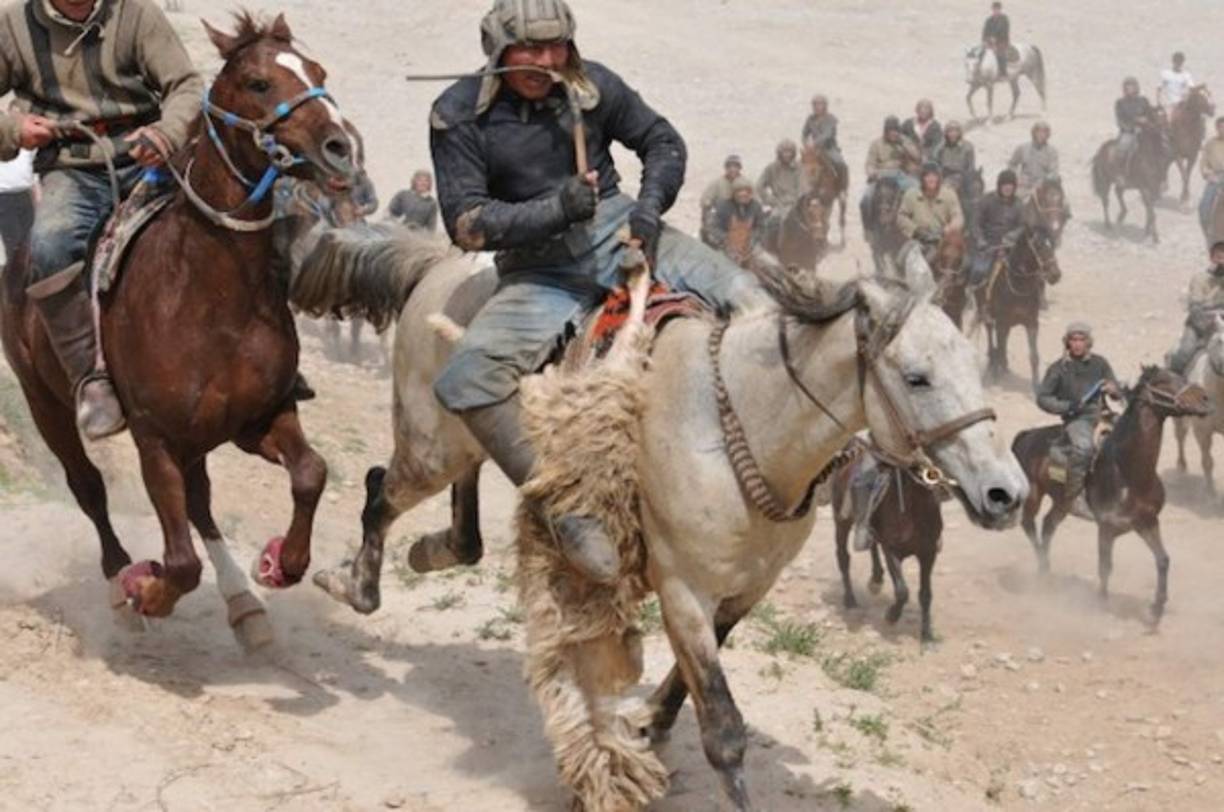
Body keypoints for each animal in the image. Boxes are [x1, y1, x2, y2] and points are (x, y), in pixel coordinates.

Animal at [0, 15, 359, 644]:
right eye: (259, 82)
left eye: (317, 71)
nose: (341, 149)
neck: (209, 294)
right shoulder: (156, 440)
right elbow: (181, 562)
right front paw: (146, 590)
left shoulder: (259, 417)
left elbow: (310, 473)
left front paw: (280, 564)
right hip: (45, 403)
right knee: (89, 487)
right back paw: (120, 586)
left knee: (200, 504)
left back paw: (243, 604)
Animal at [831, 442, 945, 645]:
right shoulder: (892, 550)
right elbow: (902, 591)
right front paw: (891, 616)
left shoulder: (928, 553)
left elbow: (925, 594)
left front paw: (927, 636)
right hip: (841, 521)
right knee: (843, 557)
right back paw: (850, 601)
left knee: (871, 544)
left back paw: (876, 579)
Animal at [976, 224, 1061, 389]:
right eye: (1038, 246)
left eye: (1052, 244)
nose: (1055, 275)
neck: (1019, 284)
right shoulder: (1001, 322)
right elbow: (1000, 347)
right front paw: (997, 377)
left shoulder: (1031, 323)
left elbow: (1034, 356)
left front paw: (1036, 385)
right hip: (987, 315)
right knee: (990, 335)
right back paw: (992, 366)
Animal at [1013, 367, 1210, 626]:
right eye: (1165, 381)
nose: (1206, 399)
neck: (1129, 471)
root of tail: (1026, 436)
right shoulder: (1106, 528)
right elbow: (1105, 566)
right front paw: (1102, 603)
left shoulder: (1147, 522)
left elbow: (1163, 560)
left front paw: (1156, 609)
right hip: (1034, 494)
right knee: (1029, 524)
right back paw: (1042, 573)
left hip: (1062, 503)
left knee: (1048, 525)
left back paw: (1047, 572)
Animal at [1174, 315, 1224, 496]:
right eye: (1220, 340)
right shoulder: (1202, 431)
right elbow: (1207, 461)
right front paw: (1210, 494)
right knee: (1180, 438)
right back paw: (1181, 467)